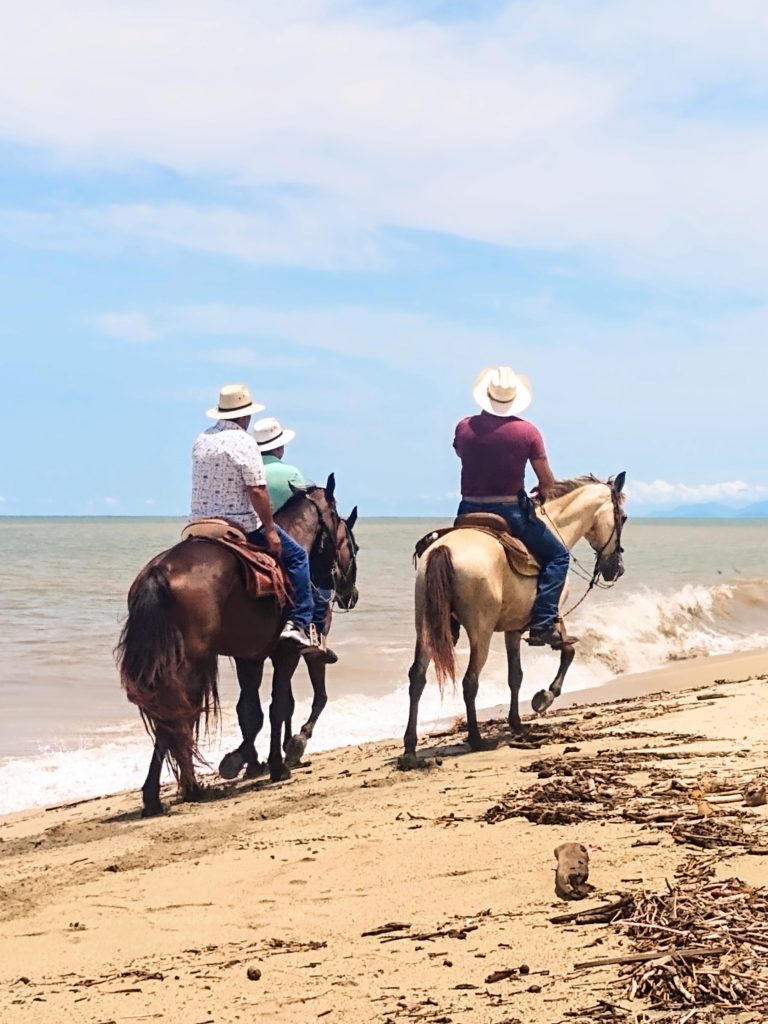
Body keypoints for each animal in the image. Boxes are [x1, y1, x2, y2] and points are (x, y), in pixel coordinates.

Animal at [117, 475, 360, 819]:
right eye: (353, 545)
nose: (350, 593)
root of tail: (159, 571)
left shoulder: (250, 657)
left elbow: (250, 711)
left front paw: (246, 760)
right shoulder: (287, 653)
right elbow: (279, 706)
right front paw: (278, 763)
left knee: (172, 718)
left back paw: (159, 795)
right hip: (193, 661)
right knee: (179, 716)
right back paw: (187, 789)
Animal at [399, 471, 626, 770]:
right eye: (624, 517)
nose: (617, 569)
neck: (557, 528)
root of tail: (444, 548)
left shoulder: (513, 630)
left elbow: (515, 676)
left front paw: (517, 723)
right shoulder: (554, 614)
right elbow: (568, 651)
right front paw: (544, 698)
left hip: (425, 627)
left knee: (417, 678)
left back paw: (410, 749)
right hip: (480, 632)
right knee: (470, 681)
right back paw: (476, 739)